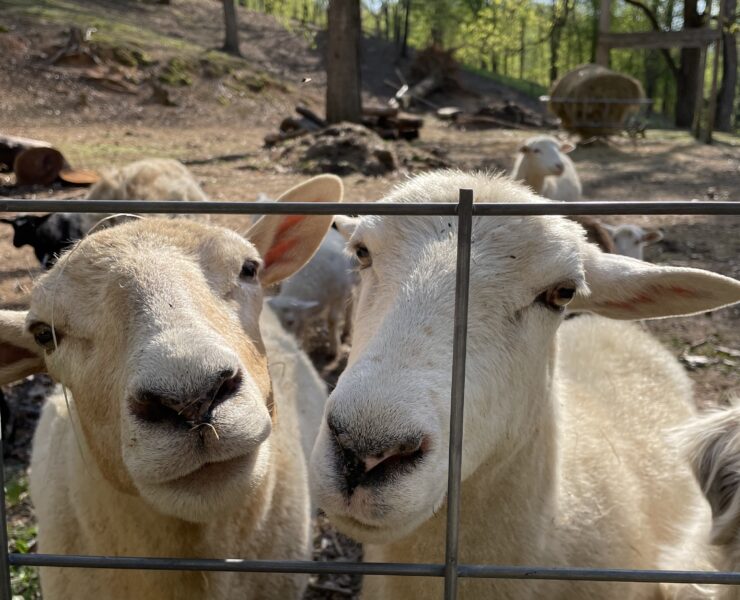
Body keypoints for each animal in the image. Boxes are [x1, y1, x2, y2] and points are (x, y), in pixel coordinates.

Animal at [267, 228, 357, 359]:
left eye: (290, 322)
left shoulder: (339, 295)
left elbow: (332, 320)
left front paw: (334, 348)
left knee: (352, 301)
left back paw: (347, 328)